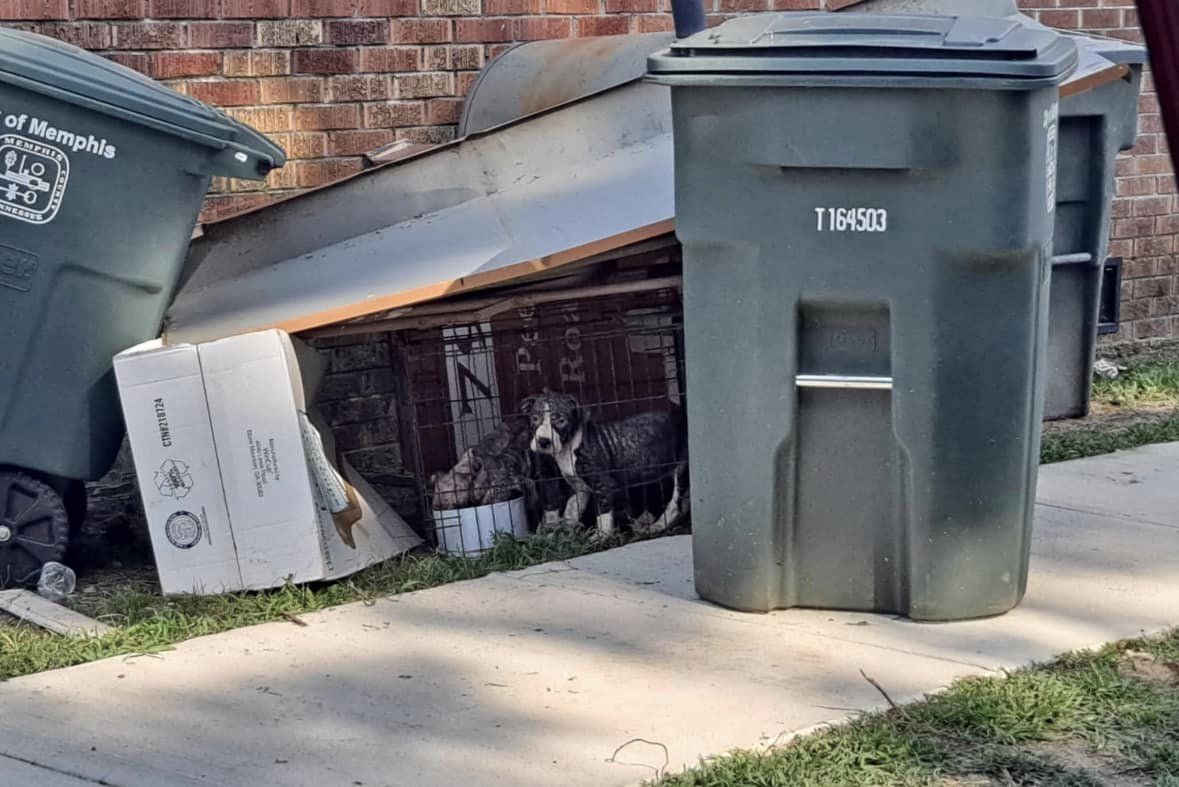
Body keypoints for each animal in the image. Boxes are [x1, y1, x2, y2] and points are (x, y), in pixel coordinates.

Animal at [521, 391, 688, 537]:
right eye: (534, 418)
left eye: (561, 421)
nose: (543, 441)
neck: (569, 447)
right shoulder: (580, 487)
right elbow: (571, 509)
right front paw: (563, 533)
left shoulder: (603, 484)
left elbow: (603, 513)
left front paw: (601, 537)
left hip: (681, 468)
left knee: (676, 503)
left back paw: (658, 525)